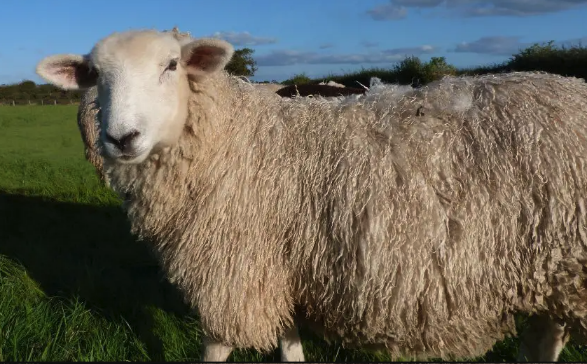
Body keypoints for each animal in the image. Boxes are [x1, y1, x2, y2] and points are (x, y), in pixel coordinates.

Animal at [35, 29, 587, 362]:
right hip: (550, 272)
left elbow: (217, 344)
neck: (238, 139)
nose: (120, 138)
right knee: (547, 336)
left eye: (171, 65)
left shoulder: (233, 265)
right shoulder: (282, 263)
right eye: (93, 76)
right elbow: (288, 337)